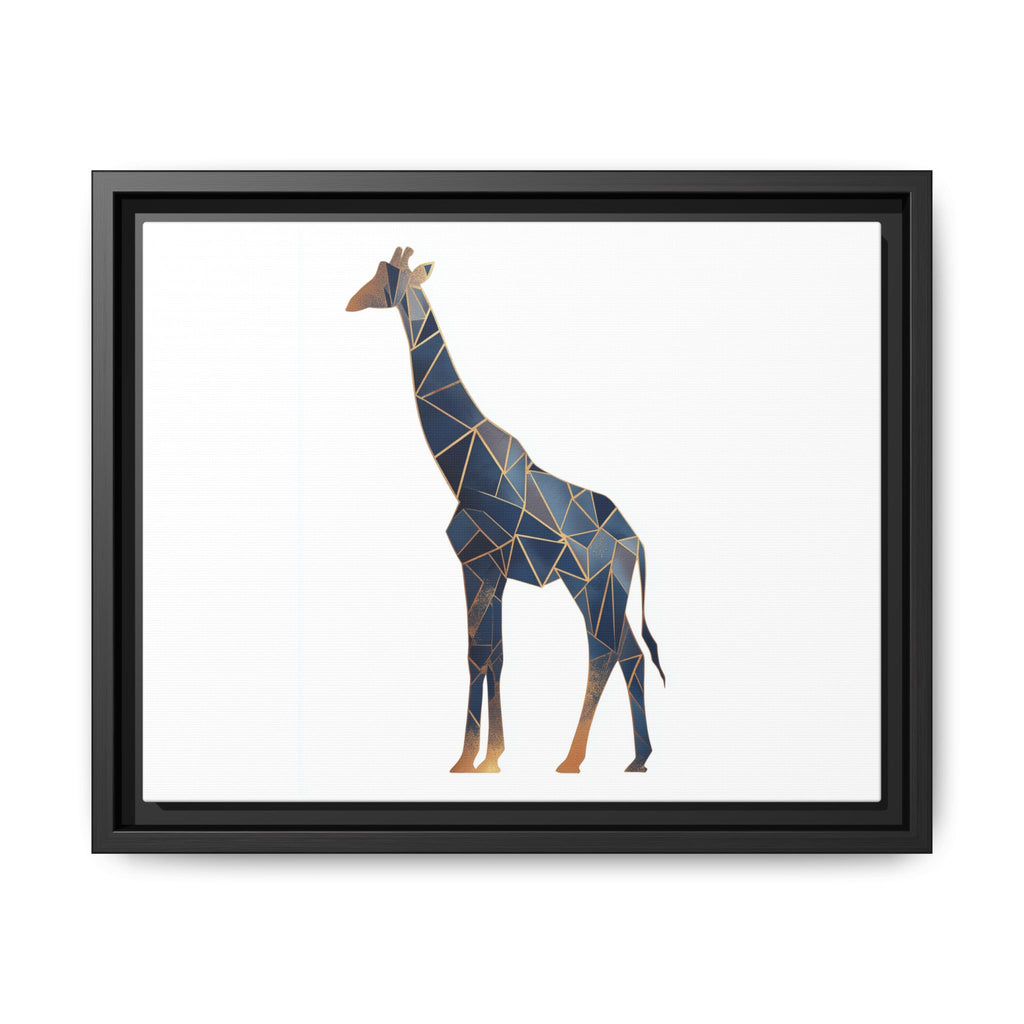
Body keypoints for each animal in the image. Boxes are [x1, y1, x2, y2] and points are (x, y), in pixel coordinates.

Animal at [347, 247, 665, 773]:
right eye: (375, 272)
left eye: (387, 278)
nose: (352, 302)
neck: (464, 467)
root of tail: (635, 541)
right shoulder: (490, 571)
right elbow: (492, 654)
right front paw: (487, 756)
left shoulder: (478, 563)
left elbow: (478, 654)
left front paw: (471, 759)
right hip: (608, 589)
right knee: (631, 654)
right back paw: (638, 758)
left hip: (590, 584)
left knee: (603, 652)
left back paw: (572, 760)